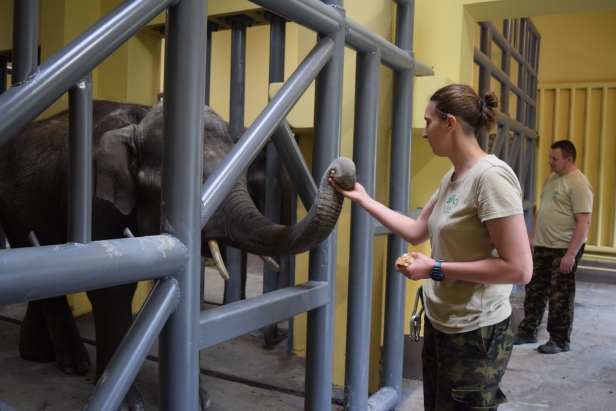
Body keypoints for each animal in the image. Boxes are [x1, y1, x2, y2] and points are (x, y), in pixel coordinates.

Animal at [0, 100, 356, 411]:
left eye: (246, 182)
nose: (340, 171)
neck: (137, 121)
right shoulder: (97, 200)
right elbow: (113, 292)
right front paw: (130, 406)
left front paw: (198, 400)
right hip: (16, 211)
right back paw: (73, 365)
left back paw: (40, 355)